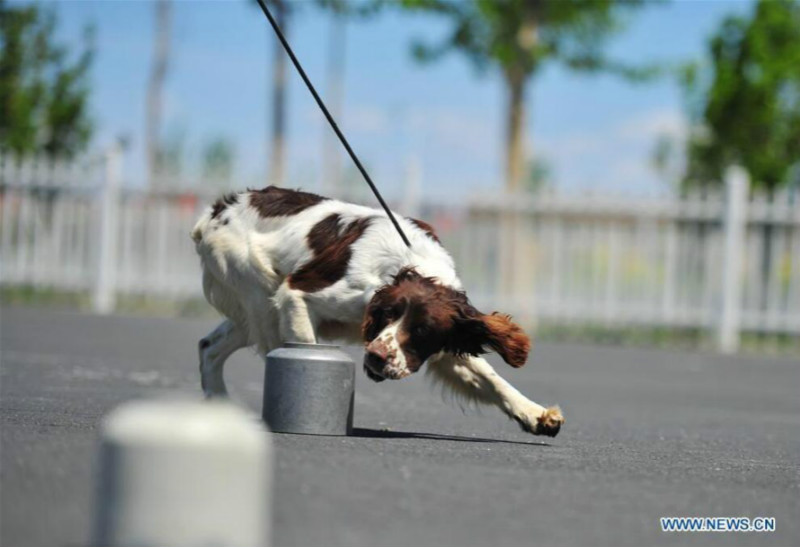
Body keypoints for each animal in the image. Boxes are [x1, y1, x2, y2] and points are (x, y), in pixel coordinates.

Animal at [192, 187, 564, 436]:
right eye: (386, 315)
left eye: (423, 330)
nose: (376, 357)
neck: (411, 263)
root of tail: (215, 212)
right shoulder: (295, 294)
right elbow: (306, 348)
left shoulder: (448, 341)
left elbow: (491, 379)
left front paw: (536, 414)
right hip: (260, 293)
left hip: (251, 308)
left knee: (209, 348)